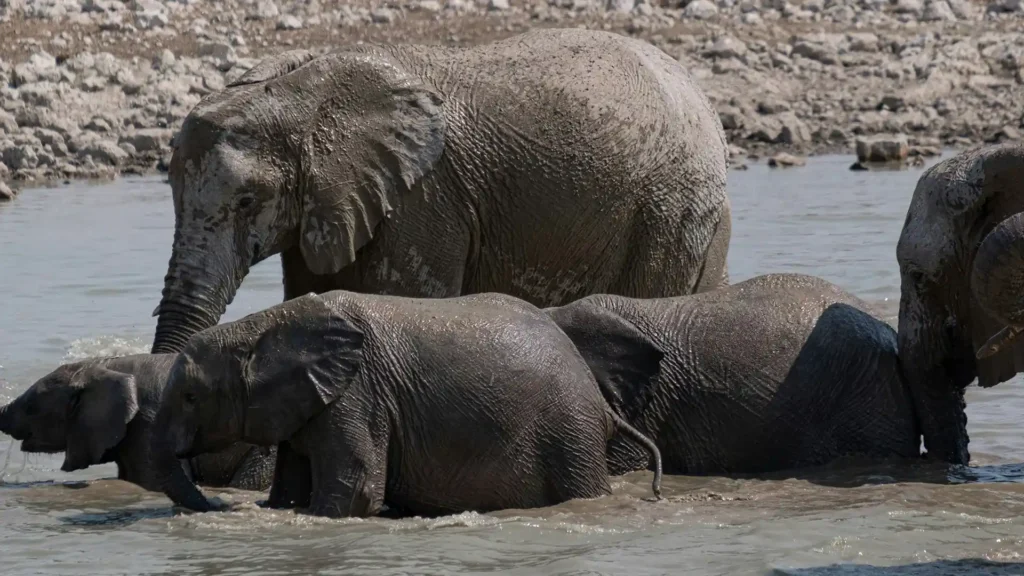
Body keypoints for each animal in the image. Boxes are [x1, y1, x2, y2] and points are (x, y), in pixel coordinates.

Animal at [152, 289, 663, 518]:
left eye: (192, 397)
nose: (216, 507)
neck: (264, 324)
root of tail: (599, 400)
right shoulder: (309, 403)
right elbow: (291, 485)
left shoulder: (358, 394)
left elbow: (356, 487)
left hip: (569, 431)